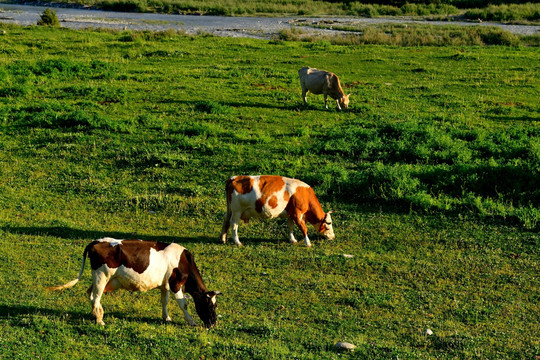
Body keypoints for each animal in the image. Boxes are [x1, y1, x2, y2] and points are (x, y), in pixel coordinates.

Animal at [47, 238, 221, 328]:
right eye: (209, 305)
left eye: (215, 305)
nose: (213, 324)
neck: (184, 261)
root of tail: (98, 241)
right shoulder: (175, 283)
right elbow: (183, 304)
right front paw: (191, 321)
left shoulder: (165, 284)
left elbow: (164, 301)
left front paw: (166, 318)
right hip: (101, 275)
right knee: (95, 296)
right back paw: (100, 320)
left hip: (101, 278)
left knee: (91, 294)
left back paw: (96, 315)